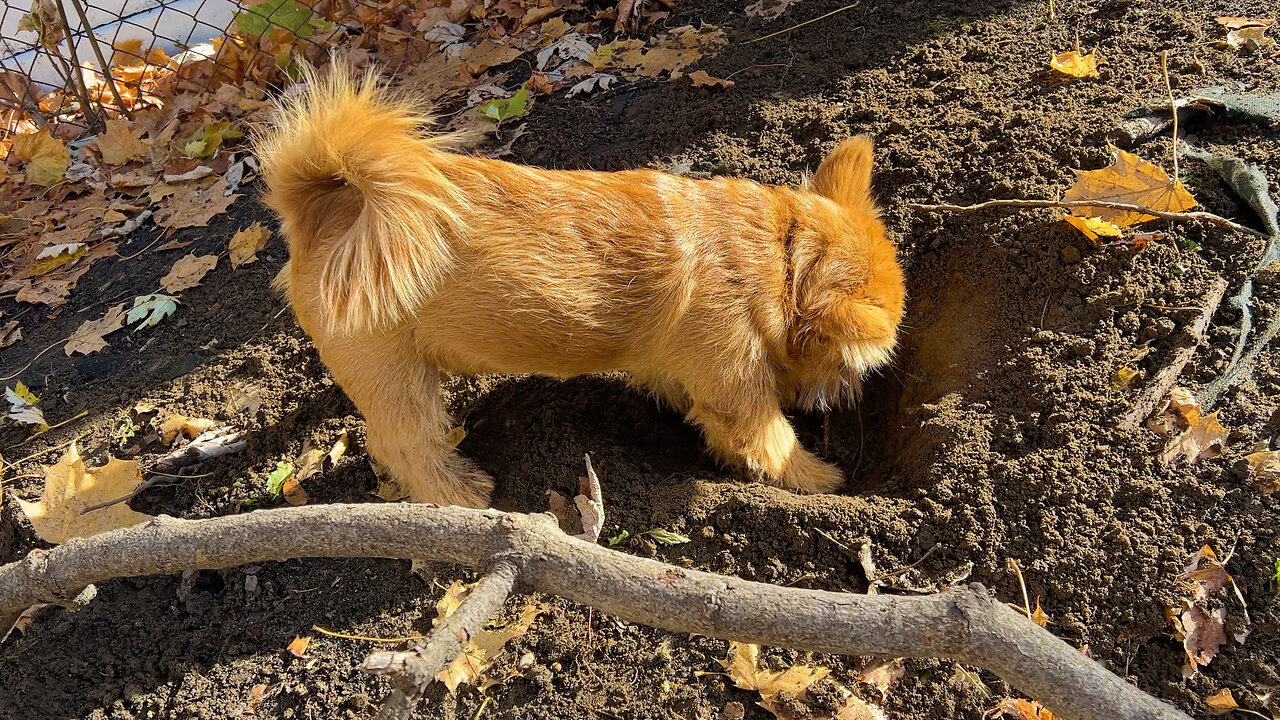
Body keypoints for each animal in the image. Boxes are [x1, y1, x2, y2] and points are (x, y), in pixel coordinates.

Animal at [254, 64, 906, 507]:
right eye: (852, 363)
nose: (851, 401)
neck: (779, 255)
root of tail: (327, 207)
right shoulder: (737, 386)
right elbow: (770, 440)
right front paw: (818, 478)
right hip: (395, 380)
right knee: (404, 444)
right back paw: (460, 493)